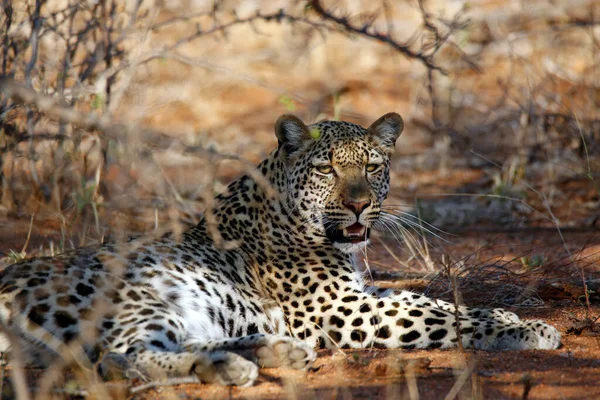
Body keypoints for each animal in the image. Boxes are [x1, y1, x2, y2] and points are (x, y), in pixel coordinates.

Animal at [0, 111, 564, 386]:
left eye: (372, 167)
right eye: (327, 169)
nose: (358, 205)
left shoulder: (363, 294)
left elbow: (434, 301)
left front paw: (513, 317)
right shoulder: (341, 309)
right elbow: (437, 316)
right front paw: (527, 330)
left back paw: (271, 351)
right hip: (138, 299)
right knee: (118, 359)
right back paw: (234, 367)